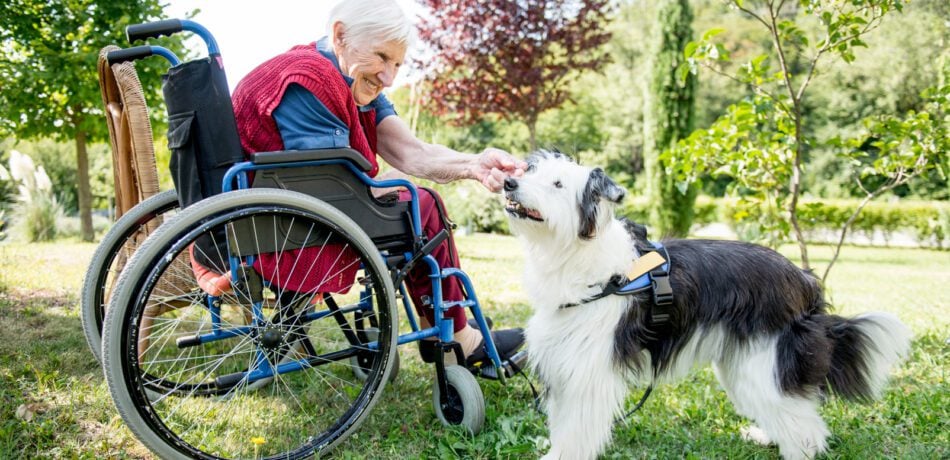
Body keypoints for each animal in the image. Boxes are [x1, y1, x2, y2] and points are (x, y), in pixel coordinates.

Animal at [502, 152, 912, 460]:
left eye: (558, 185)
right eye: (530, 172)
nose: (509, 183)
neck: (583, 261)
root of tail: (805, 280)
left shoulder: (589, 368)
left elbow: (576, 427)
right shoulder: (564, 357)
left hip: (764, 361)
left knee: (806, 428)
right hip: (742, 364)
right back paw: (767, 436)